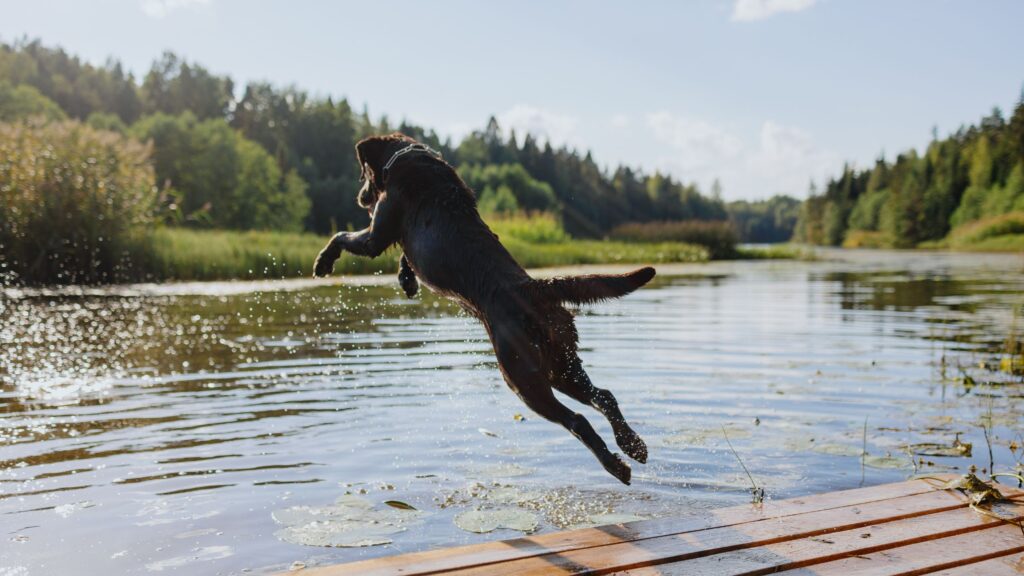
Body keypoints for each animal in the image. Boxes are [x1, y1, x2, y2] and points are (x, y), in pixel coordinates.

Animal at [311, 132, 651, 481]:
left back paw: (616, 465)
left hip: (521, 376)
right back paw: (633, 445)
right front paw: (407, 280)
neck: (408, 158)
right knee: (604, 396)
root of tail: (532, 287)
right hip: (561, 364)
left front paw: (324, 261)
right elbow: (405, 255)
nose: (360, 198)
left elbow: (342, 235)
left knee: (577, 420)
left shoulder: (377, 232)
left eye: (363, 173)